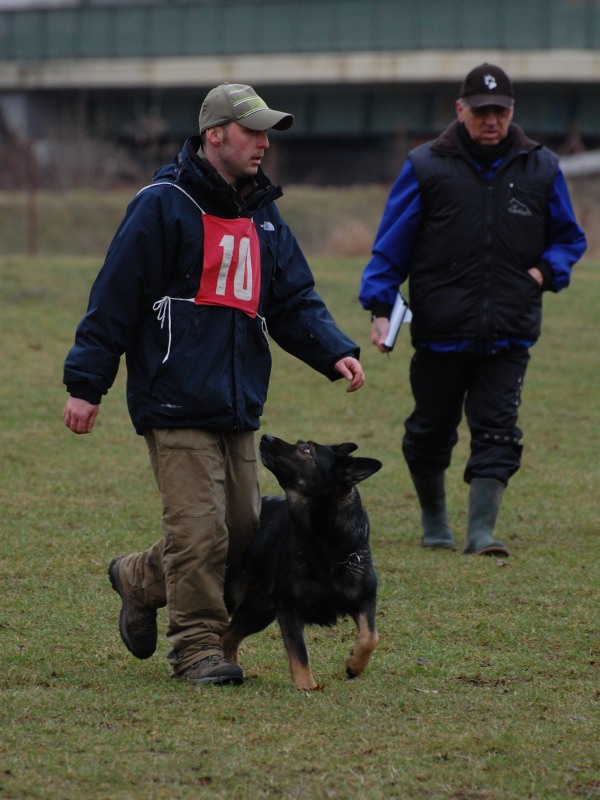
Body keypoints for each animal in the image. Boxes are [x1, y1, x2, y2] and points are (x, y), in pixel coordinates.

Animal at [221, 434, 384, 692]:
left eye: (306, 450)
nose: (266, 436)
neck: (325, 541)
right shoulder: (288, 608)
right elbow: (299, 651)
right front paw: (307, 687)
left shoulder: (365, 599)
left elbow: (370, 637)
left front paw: (354, 665)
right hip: (233, 598)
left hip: (259, 611)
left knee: (227, 637)